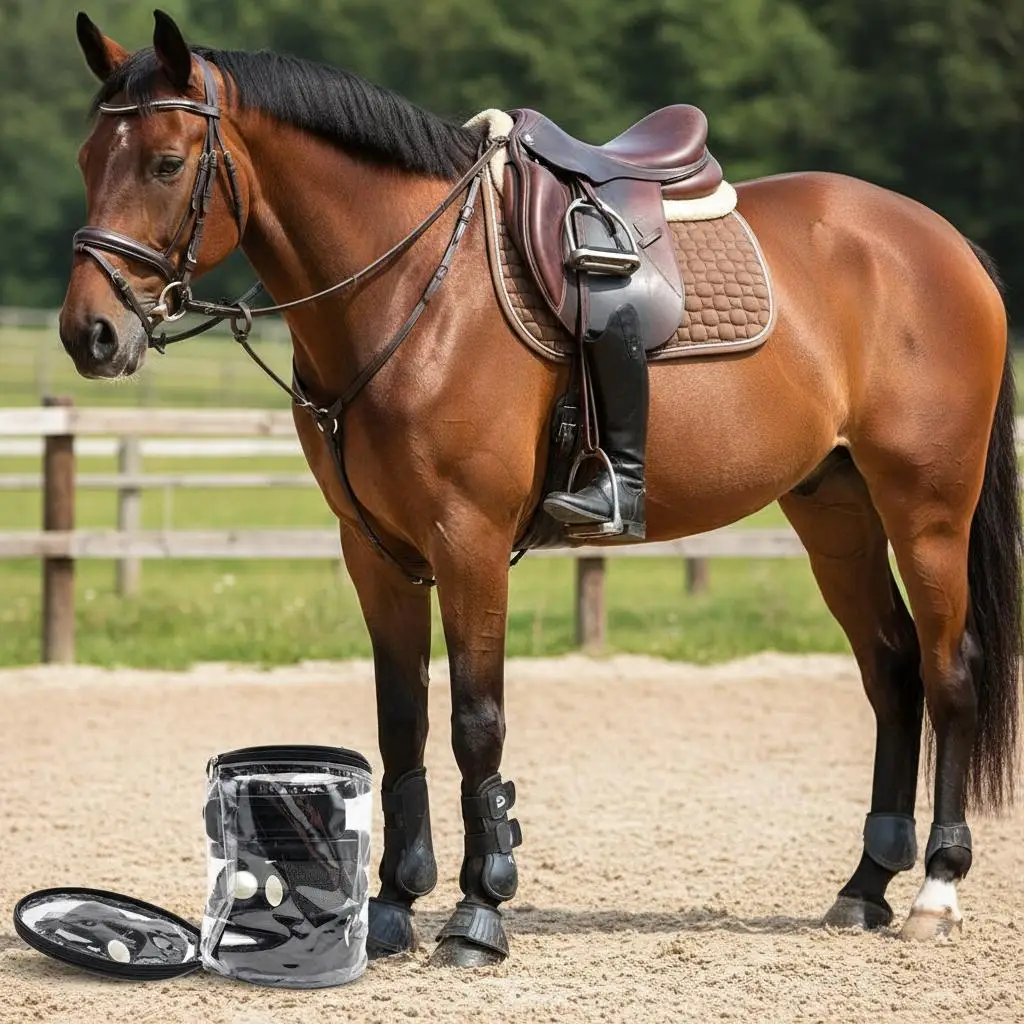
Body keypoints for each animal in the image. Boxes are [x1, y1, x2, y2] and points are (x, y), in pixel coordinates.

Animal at [59, 10, 1020, 967]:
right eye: (85, 159)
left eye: (166, 164)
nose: (89, 334)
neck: (412, 288)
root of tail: (940, 240)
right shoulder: (377, 553)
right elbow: (401, 722)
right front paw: (393, 905)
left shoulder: (469, 541)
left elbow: (475, 721)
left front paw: (479, 911)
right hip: (835, 511)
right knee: (892, 670)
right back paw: (865, 887)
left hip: (927, 511)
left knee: (949, 672)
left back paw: (936, 887)